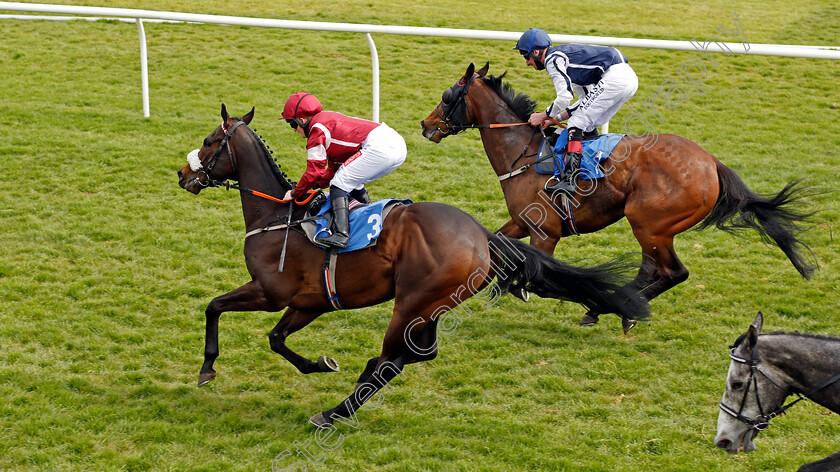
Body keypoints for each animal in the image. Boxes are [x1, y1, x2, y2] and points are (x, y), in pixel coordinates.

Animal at [177, 104, 648, 428]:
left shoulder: (271, 291)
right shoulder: (311, 301)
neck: (277, 216)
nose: (183, 174)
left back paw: (335, 411)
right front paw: (320, 364)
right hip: (434, 304)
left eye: (209, 140)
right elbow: (276, 339)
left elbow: (214, 306)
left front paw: (206, 368)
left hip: (412, 302)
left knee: (391, 360)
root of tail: (480, 234)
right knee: (420, 353)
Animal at [424, 61, 816, 328]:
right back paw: (617, 306)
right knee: (652, 271)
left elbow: (543, 277)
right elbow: (498, 249)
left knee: (672, 272)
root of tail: (711, 163)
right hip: (654, 230)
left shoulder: (545, 232)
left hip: (648, 223)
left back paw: (608, 306)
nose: (426, 125)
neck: (525, 153)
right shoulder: (521, 222)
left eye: (448, 96)